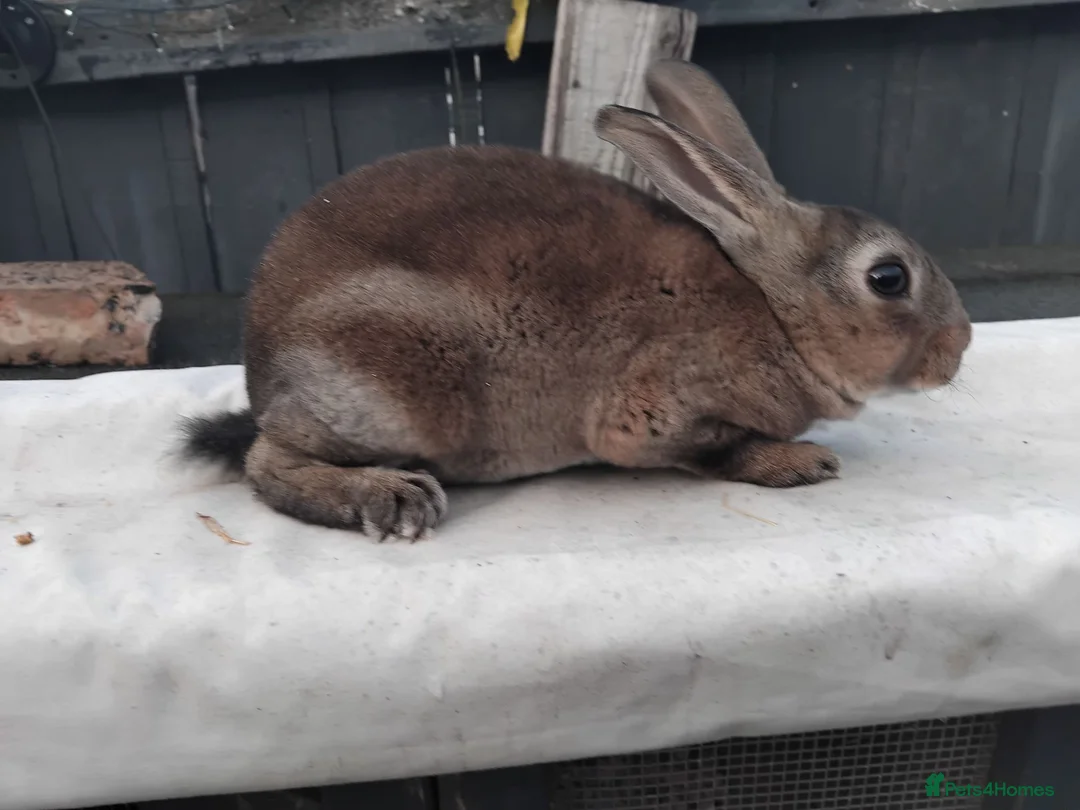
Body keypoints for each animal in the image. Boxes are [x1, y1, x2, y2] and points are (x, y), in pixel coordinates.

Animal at [180, 58, 972, 541]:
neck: (776, 312)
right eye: (889, 278)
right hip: (397, 380)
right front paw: (797, 464)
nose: (958, 348)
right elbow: (716, 448)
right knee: (267, 462)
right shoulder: (653, 412)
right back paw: (390, 496)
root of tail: (261, 368)